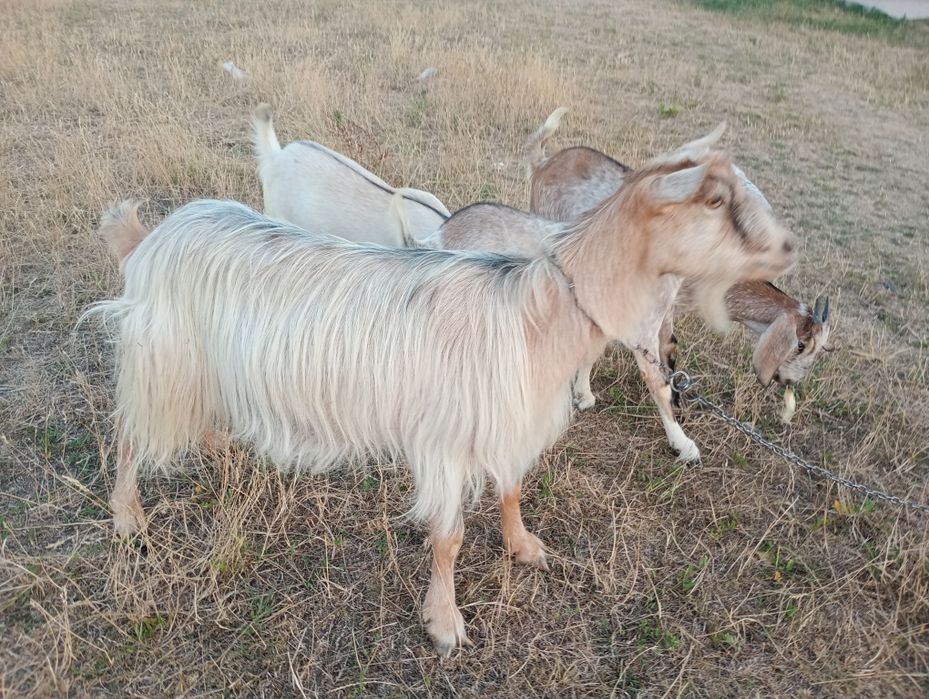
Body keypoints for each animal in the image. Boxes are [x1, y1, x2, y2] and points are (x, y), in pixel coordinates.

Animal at [86, 134, 794, 655]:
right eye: (715, 200)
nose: (788, 246)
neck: (536, 310)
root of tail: (153, 234)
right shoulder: (446, 440)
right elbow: (449, 537)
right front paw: (445, 623)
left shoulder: (510, 420)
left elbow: (512, 488)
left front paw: (523, 548)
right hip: (162, 359)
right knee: (129, 433)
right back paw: (128, 518)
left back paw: (221, 451)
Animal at [529, 109, 830, 422]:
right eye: (800, 345)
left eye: (819, 350)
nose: (791, 380)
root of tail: (544, 163)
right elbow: (667, 347)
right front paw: (674, 405)